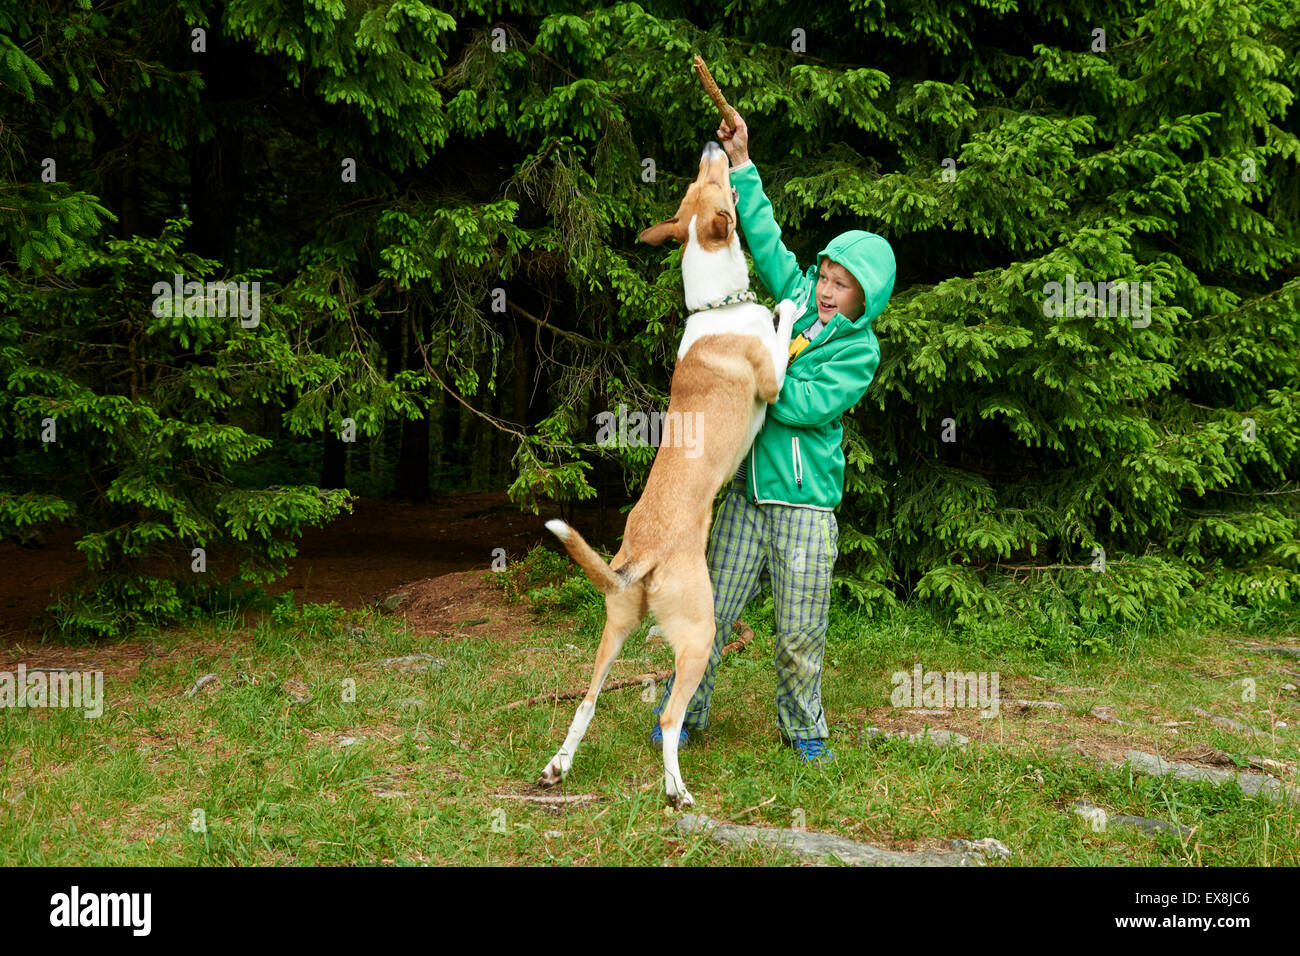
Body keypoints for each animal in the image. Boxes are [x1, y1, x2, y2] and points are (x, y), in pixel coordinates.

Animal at [535, 138, 795, 806]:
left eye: (694, 181)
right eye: (717, 182)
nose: (714, 144)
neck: (714, 303)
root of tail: (644, 556)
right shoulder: (774, 381)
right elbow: (781, 333)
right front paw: (789, 304)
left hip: (613, 631)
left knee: (586, 703)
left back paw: (558, 767)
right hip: (701, 634)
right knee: (672, 716)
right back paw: (677, 791)